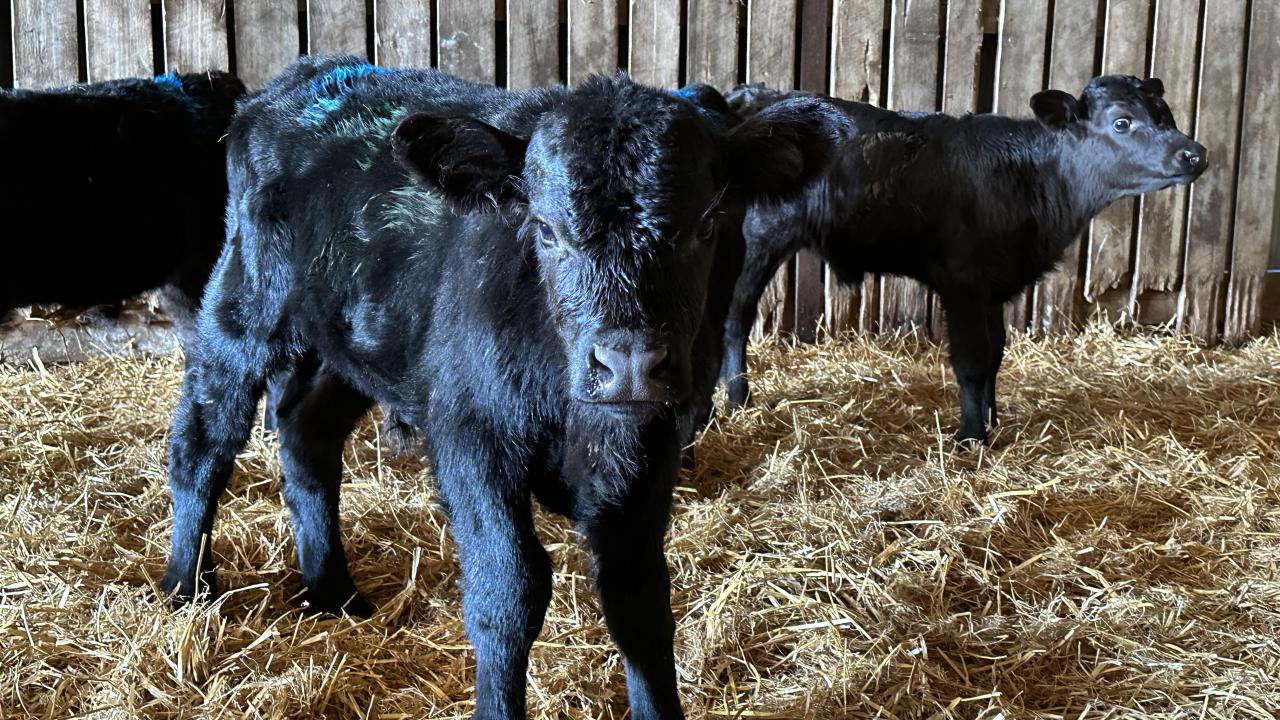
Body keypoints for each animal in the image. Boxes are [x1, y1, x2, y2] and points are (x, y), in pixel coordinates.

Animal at [160, 56, 842, 719]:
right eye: (544, 229)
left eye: (706, 224)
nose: (629, 362)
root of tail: (295, 82)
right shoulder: (471, 436)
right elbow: (509, 592)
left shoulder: (650, 450)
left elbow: (639, 598)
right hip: (245, 306)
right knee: (203, 443)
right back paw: (185, 589)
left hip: (357, 343)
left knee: (307, 435)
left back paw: (333, 593)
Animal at [720, 75, 1208, 443]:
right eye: (1122, 122)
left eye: (1166, 114)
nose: (1195, 153)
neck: (1031, 178)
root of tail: (750, 95)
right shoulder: (964, 285)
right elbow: (972, 362)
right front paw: (971, 437)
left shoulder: (994, 286)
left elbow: (996, 353)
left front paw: (992, 421)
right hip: (758, 239)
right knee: (735, 319)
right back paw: (737, 399)